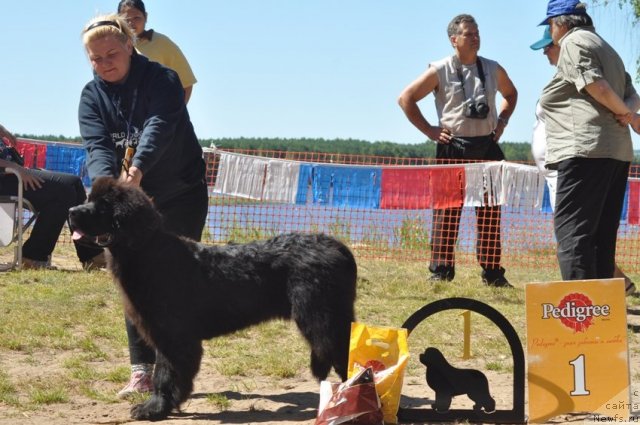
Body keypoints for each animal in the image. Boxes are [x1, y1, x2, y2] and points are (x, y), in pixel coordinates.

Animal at [71, 177, 360, 420]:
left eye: (105, 205)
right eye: (89, 198)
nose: (72, 211)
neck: (147, 253)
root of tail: (339, 247)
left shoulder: (172, 335)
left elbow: (165, 373)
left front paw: (154, 408)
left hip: (322, 320)